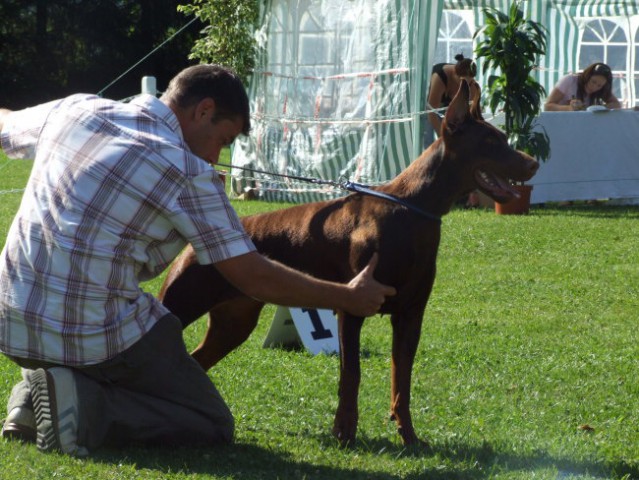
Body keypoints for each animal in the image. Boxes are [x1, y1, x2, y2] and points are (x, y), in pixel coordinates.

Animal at [158, 81, 536, 446]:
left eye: (503, 138)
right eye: (490, 141)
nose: (533, 163)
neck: (412, 211)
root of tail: (203, 241)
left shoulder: (410, 314)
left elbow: (402, 379)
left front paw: (409, 435)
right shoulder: (353, 307)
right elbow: (351, 373)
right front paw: (344, 431)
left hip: (234, 322)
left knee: (198, 362)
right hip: (182, 302)